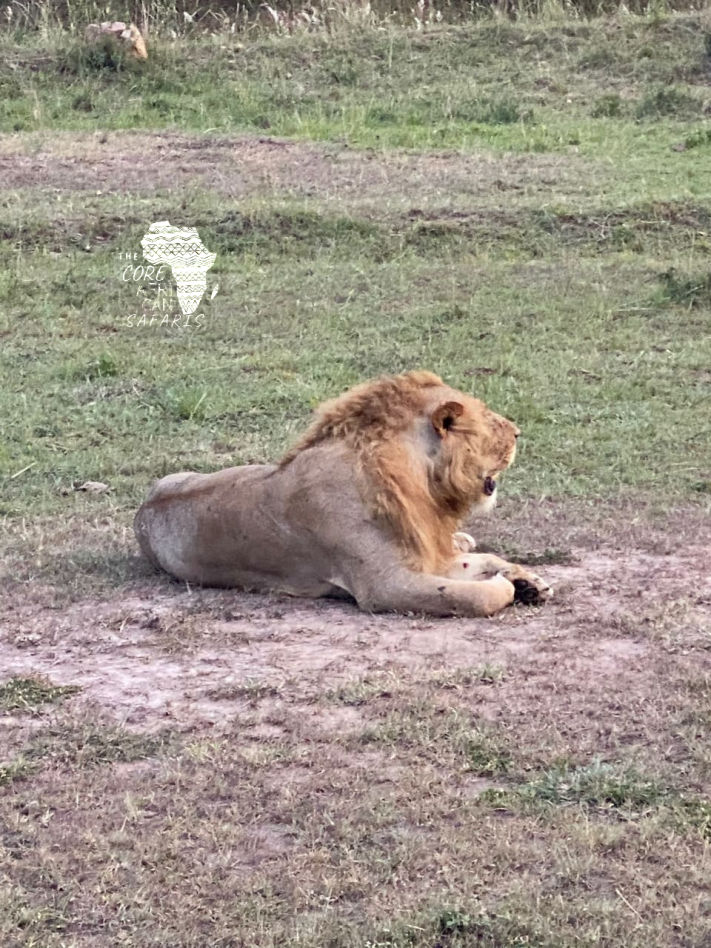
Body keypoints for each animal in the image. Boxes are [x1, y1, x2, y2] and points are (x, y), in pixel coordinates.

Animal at [134, 371, 552, 617]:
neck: (419, 485)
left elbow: (479, 560)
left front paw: (527, 581)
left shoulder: (424, 554)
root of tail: (144, 506)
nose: (519, 433)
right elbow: (472, 595)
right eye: (490, 421)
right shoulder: (384, 584)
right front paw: (506, 585)